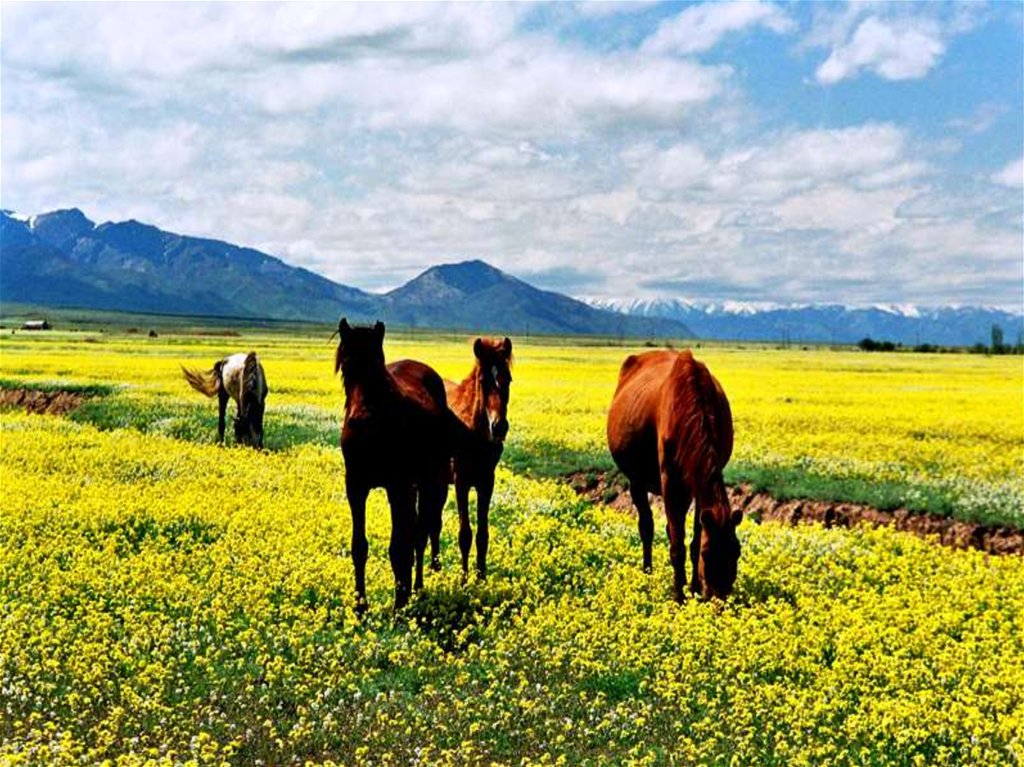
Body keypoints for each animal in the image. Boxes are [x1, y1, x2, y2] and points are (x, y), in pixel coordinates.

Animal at [335, 315, 452, 610]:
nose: (361, 420)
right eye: (346, 365)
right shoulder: (356, 488)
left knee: (422, 533)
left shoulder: (398, 487)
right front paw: (360, 606)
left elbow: (400, 547)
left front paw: (399, 606)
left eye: (377, 365)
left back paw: (417, 588)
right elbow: (359, 546)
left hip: (428, 482)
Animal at [442, 337, 516, 577]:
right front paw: (464, 579)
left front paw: (482, 577)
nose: (499, 427)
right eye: (483, 381)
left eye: (508, 379)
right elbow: (465, 534)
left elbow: (483, 535)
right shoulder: (461, 482)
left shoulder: (486, 481)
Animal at [602, 348, 741, 606]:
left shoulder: (698, 485)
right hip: (637, 480)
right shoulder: (670, 482)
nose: (719, 598)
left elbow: (694, 539)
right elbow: (677, 545)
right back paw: (647, 572)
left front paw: (693, 588)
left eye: (736, 551)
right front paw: (679, 597)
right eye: (709, 554)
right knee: (646, 526)